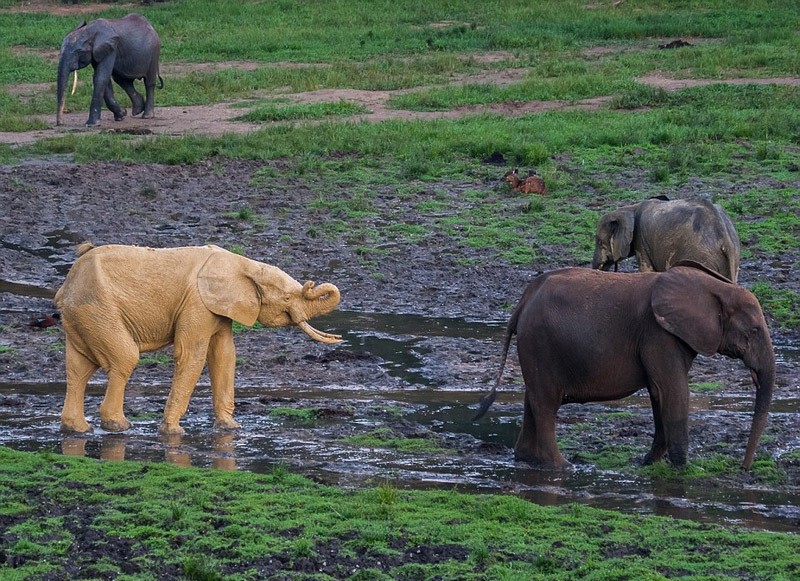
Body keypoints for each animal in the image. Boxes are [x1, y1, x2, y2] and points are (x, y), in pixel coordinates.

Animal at [54, 241, 342, 436]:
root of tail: (65, 287)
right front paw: (173, 432)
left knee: (78, 369)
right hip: (97, 309)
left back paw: (78, 429)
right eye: (287, 298)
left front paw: (230, 429)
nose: (311, 283)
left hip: (83, 317)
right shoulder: (197, 304)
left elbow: (224, 355)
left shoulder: (218, 307)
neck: (244, 264)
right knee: (124, 358)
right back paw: (118, 426)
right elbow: (191, 355)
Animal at [476, 262, 776, 472]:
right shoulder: (658, 333)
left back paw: (527, 460)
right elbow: (673, 392)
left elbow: (659, 394)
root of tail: (523, 300)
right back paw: (563, 467)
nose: (743, 469)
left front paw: (649, 463)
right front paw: (684, 470)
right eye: (753, 331)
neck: (713, 287)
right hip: (540, 341)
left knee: (533, 399)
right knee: (545, 403)